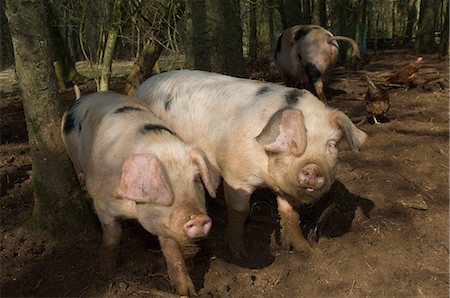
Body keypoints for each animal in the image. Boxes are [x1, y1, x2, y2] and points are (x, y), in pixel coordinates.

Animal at [60, 91, 220, 296]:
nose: (198, 219)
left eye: (197, 179)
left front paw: (187, 292)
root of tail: (85, 97)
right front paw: (106, 273)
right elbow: (113, 235)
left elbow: (172, 251)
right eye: (159, 184)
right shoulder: (102, 203)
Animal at [134, 69, 366, 258]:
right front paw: (239, 254)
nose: (312, 167)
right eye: (291, 142)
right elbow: (240, 211)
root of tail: (144, 85)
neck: (267, 177)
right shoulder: (237, 177)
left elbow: (289, 213)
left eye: (332, 145)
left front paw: (304, 250)